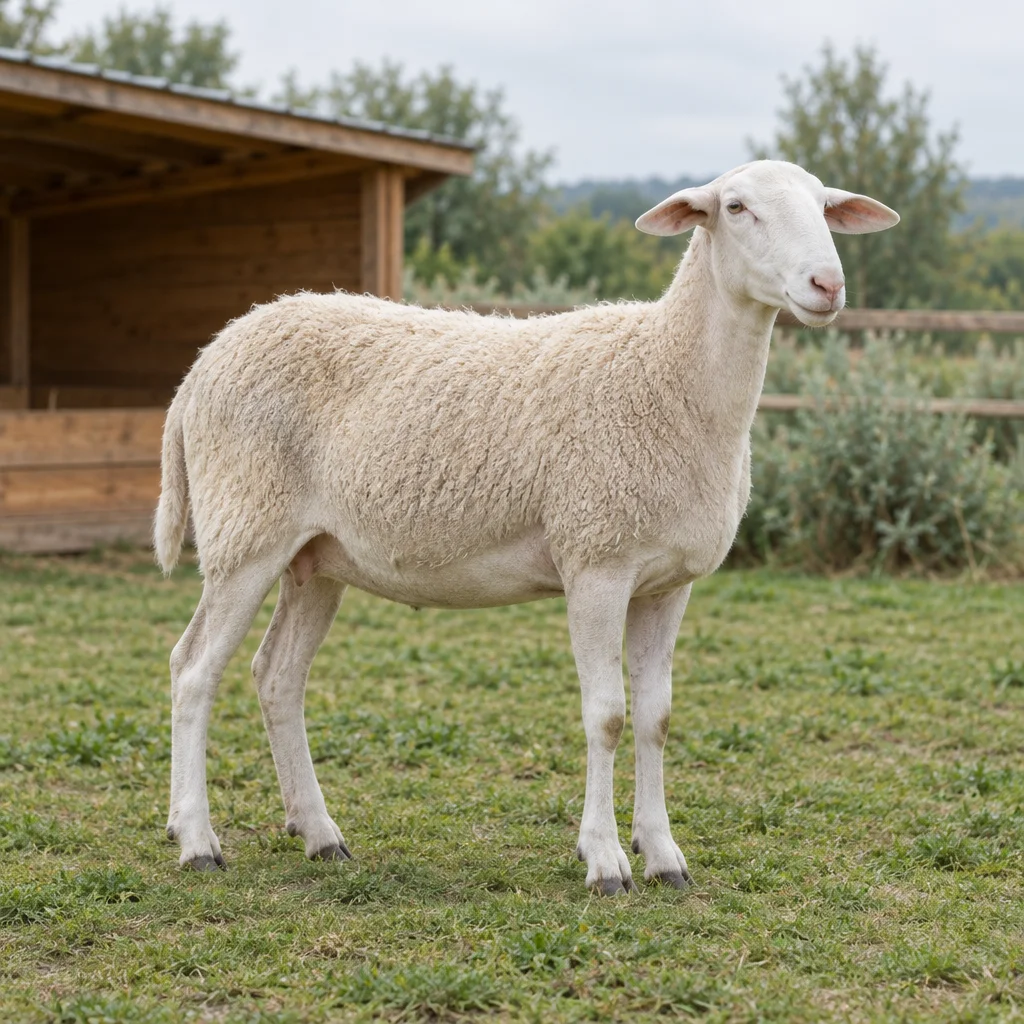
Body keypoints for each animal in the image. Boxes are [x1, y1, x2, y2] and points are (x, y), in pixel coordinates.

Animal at [156, 159, 899, 894]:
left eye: (824, 206)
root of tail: (205, 361)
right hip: (244, 529)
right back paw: (196, 841)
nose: (827, 284)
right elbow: (607, 716)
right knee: (194, 671)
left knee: (277, 677)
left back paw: (319, 834)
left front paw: (663, 855)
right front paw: (605, 861)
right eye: (737, 207)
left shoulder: (667, 582)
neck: (669, 373)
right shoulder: (596, 560)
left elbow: (655, 718)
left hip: (315, 556)